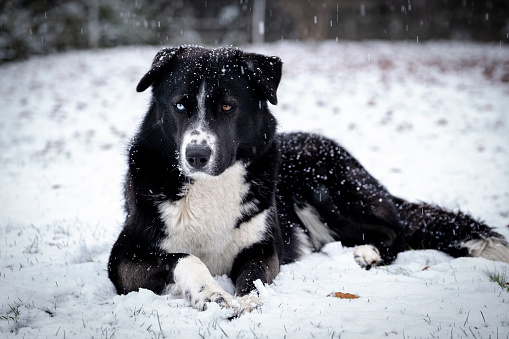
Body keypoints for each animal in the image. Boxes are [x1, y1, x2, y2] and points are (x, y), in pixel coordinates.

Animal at [108, 45, 508, 316]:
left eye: (226, 106)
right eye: (180, 105)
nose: (196, 156)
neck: (210, 186)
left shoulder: (263, 248)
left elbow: (253, 275)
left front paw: (247, 300)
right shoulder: (124, 259)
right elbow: (186, 257)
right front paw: (212, 293)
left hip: (330, 192)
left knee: (396, 232)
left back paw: (368, 253)